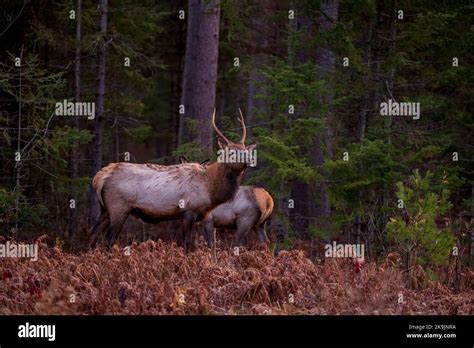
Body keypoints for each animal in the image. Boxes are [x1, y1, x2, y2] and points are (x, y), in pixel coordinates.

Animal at [87, 109, 254, 250]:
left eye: (245, 150)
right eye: (231, 152)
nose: (250, 159)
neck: (210, 189)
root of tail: (99, 177)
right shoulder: (188, 211)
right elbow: (187, 243)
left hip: (105, 210)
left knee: (92, 235)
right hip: (118, 208)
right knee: (109, 239)